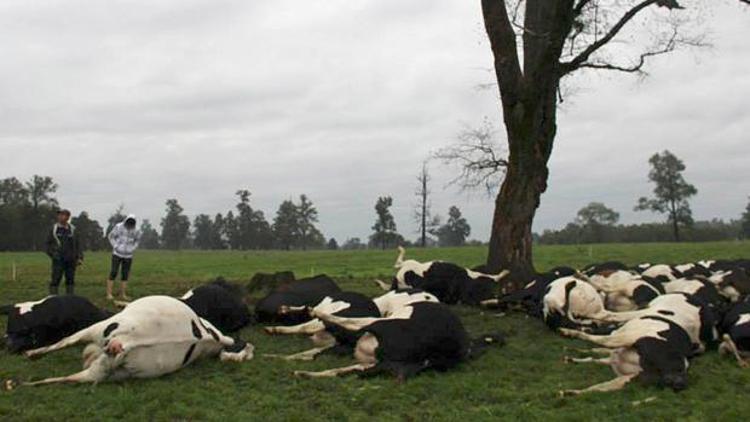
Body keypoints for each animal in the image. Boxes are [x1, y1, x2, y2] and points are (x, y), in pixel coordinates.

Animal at [19, 296, 256, 386]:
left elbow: (63, 341)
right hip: (106, 370)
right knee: (71, 376)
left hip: (98, 332)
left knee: (65, 352)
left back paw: (25, 369)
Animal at [560, 316, 696, 396]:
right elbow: (596, 355)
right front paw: (571, 355)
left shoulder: (624, 339)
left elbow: (598, 343)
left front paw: (569, 334)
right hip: (631, 377)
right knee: (602, 386)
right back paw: (569, 391)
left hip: (629, 343)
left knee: (603, 342)